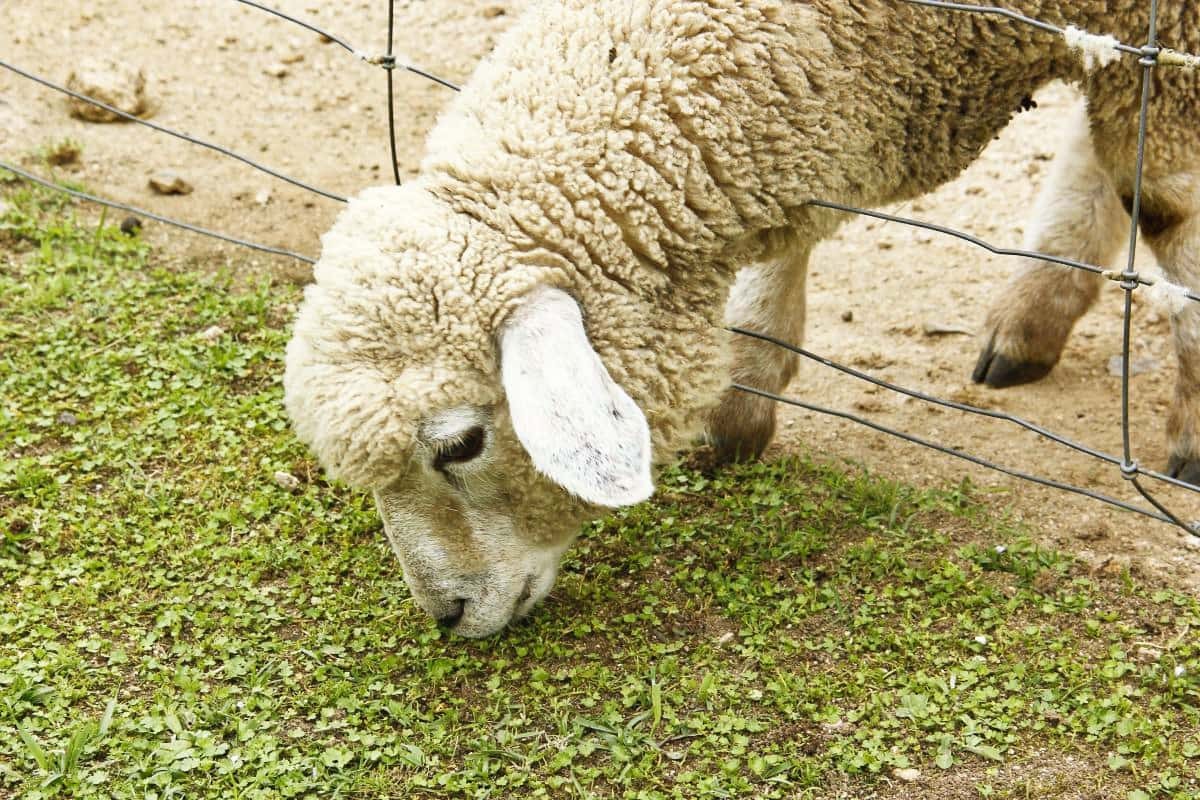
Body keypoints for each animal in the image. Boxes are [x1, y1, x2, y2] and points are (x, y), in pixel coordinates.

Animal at [283, 0, 1200, 638]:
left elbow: (1172, 213)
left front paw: (1191, 436)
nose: (445, 615)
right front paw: (742, 394)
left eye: (462, 445)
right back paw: (1034, 312)